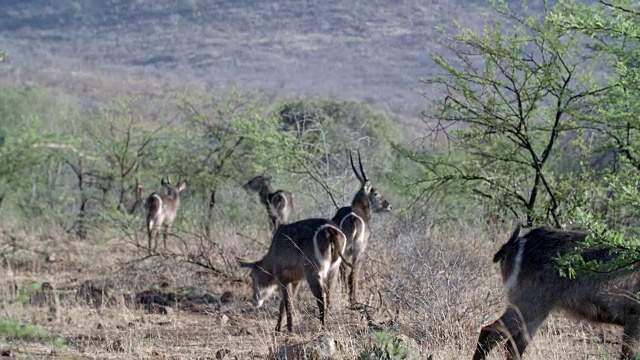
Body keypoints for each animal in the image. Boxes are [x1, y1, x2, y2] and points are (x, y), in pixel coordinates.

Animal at [332, 150, 392, 306]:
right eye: (376, 192)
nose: (389, 206)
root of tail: (353, 219)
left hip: (343, 249)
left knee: (342, 270)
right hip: (356, 250)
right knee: (353, 273)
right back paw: (354, 300)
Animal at [472, 224, 640, 358]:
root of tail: (516, 243)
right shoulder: (634, 319)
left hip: (535, 312)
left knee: (513, 346)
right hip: (529, 305)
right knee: (489, 332)